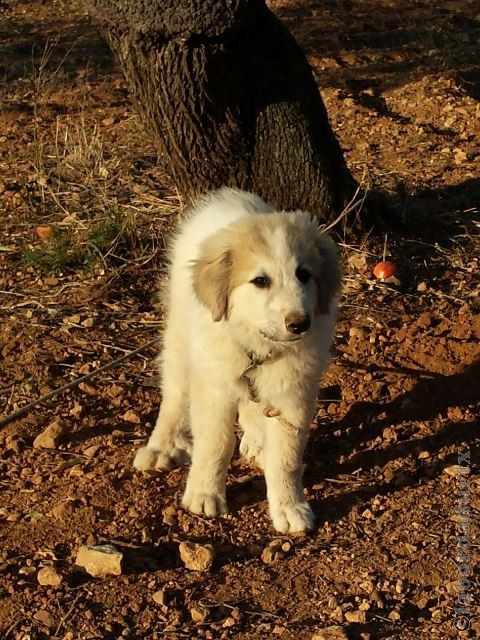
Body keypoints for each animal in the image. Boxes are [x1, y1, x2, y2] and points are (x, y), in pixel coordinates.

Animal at [133, 188, 340, 532]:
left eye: (304, 275)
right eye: (260, 281)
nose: (300, 324)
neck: (257, 344)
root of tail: (229, 197)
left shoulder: (293, 393)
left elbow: (286, 455)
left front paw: (290, 508)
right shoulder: (214, 388)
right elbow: (216, 443)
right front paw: (204, 494)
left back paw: (256, 442)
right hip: (180, 341)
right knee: (174, 397)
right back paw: (160, 446)